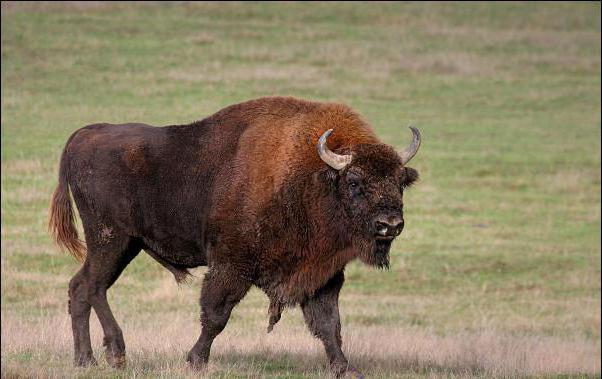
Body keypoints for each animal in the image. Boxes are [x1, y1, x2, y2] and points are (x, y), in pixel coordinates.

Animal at [49, 97, 420, 378]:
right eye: (355, 181)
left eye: (399, 181)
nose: (390, 224)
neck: (307, 178)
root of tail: (85, 134)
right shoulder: (231, 266)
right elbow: (216, 314)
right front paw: (195, 361)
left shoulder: (322, 275)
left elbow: (329, 324)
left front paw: (346, 369)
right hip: (110, 239)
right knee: (92, 286)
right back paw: (114, 354)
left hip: (126, 245)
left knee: (80, 287)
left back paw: (86, 360)